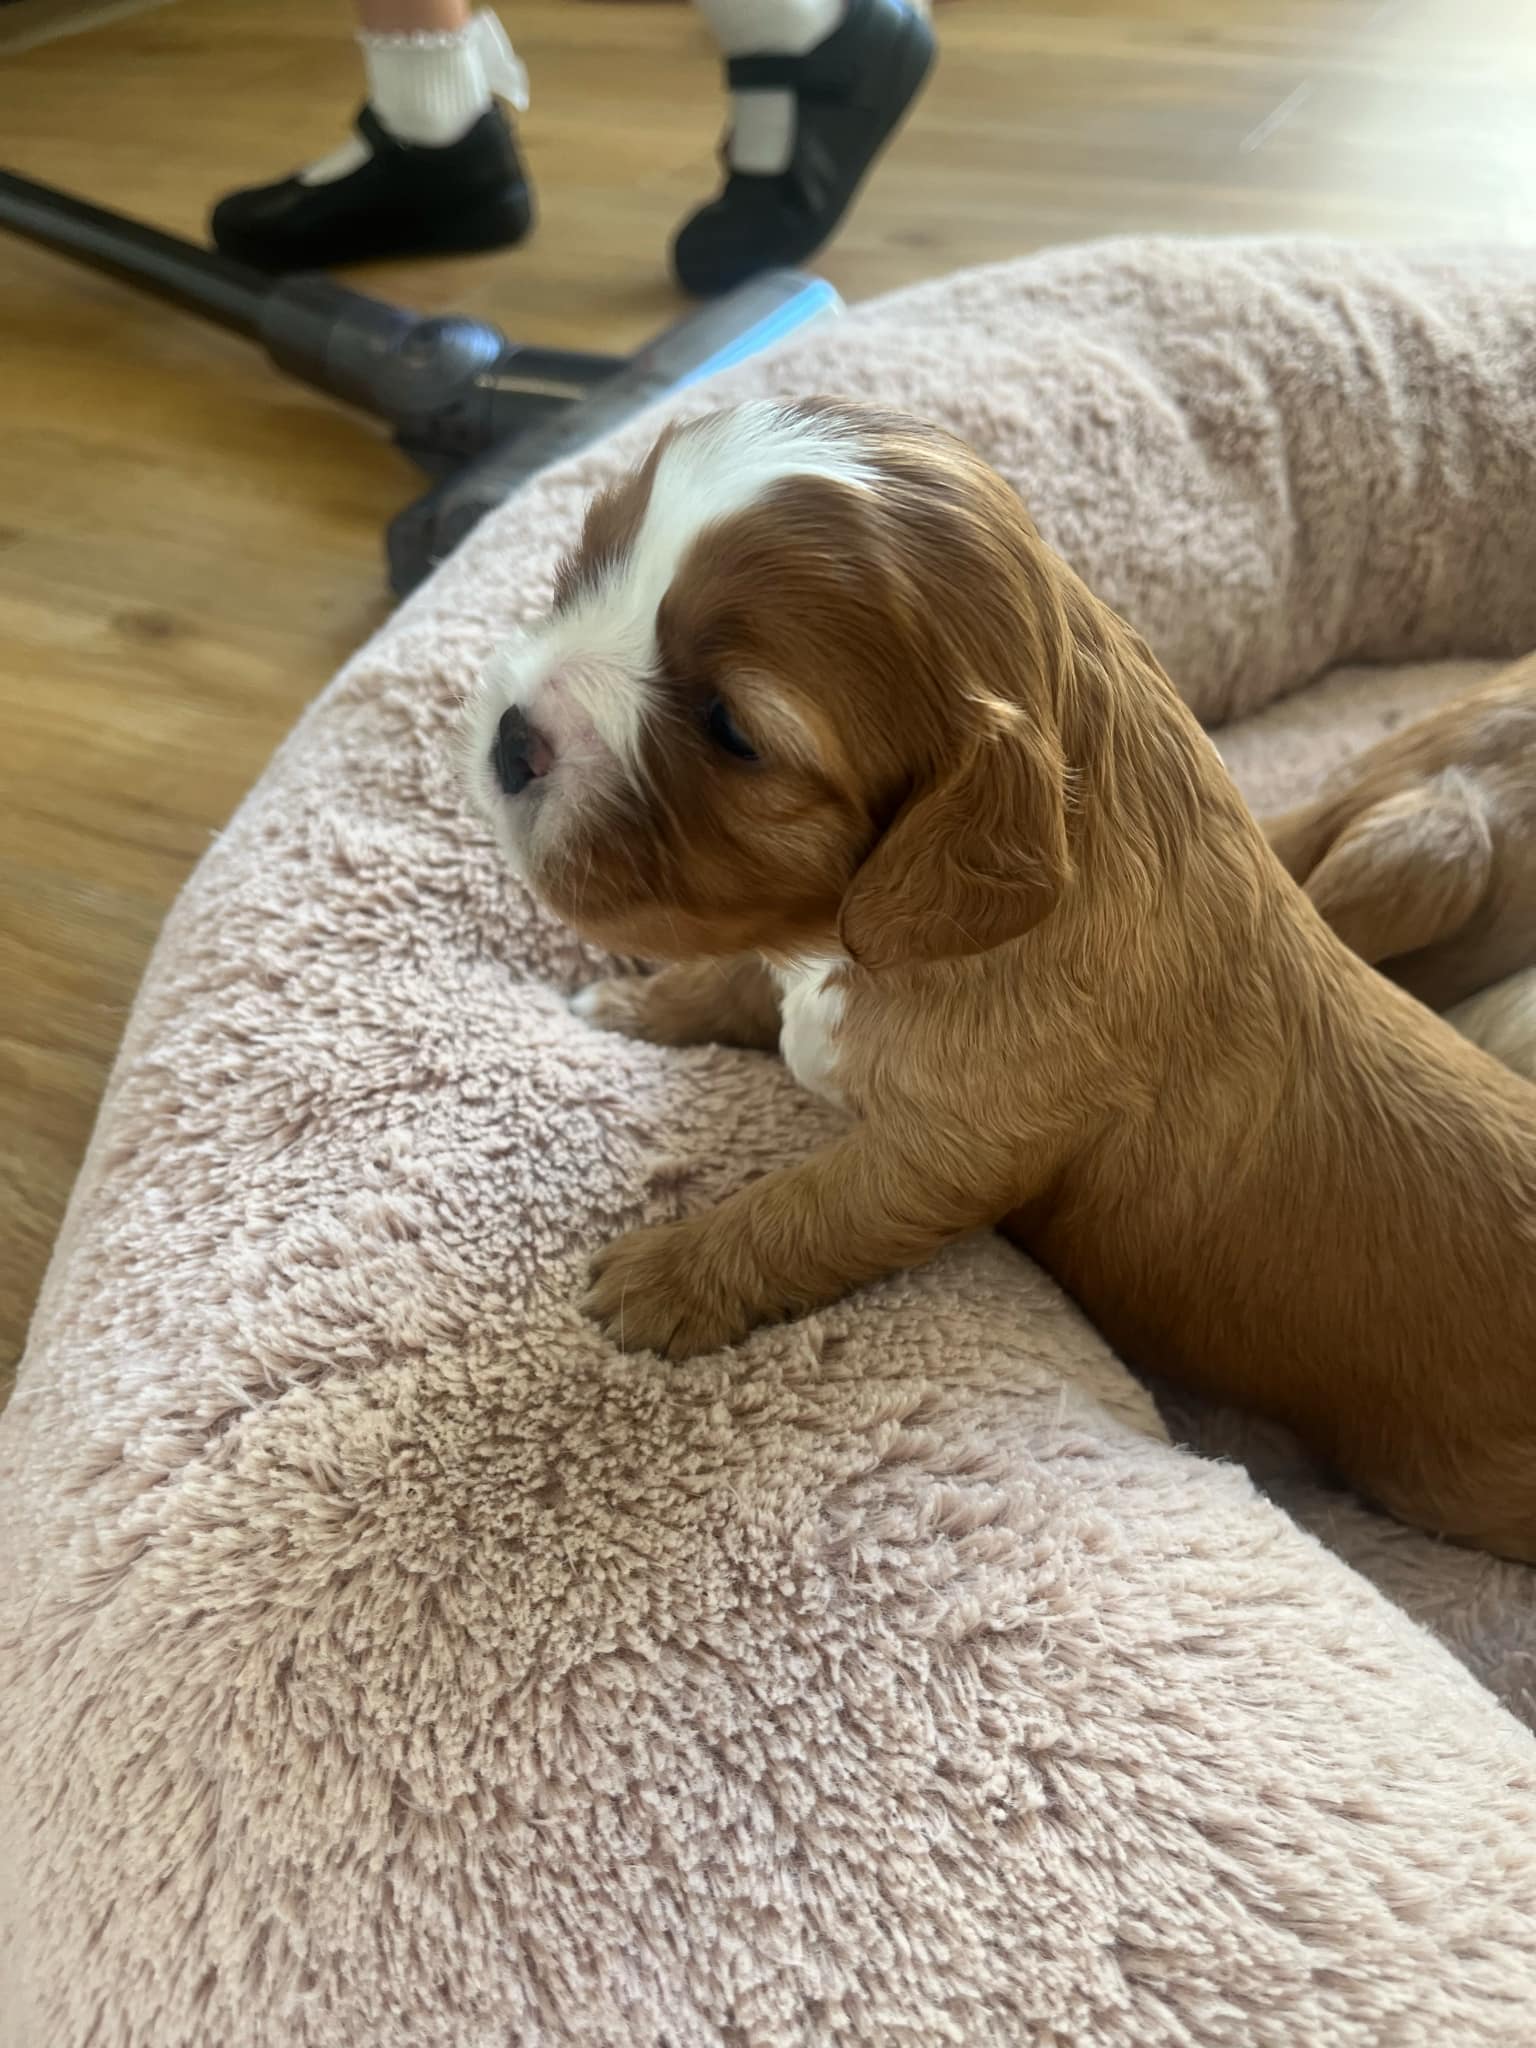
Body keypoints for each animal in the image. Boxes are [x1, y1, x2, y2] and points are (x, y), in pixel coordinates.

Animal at [467, 399, 1536, 1561]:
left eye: (732, 730)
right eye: (586, 561)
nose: (512, 737)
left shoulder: (960, 1146)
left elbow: (807, 1207)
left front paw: (667, 1275)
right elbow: (742, 980)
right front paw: (639, 1002)